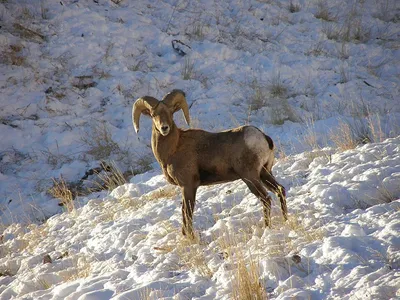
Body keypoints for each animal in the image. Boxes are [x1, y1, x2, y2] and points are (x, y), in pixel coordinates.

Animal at [134, 89, 288, 237]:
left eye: (171, 112)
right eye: (153, 114)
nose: (164, 128)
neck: (173, 148)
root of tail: (263, 138)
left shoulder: (188, 186)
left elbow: (187, 213)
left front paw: (190, 238)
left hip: (250, 177)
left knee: (266, 199)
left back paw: (267, 227)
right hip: (264, 173)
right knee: (280, 190)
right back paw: (285, 220)